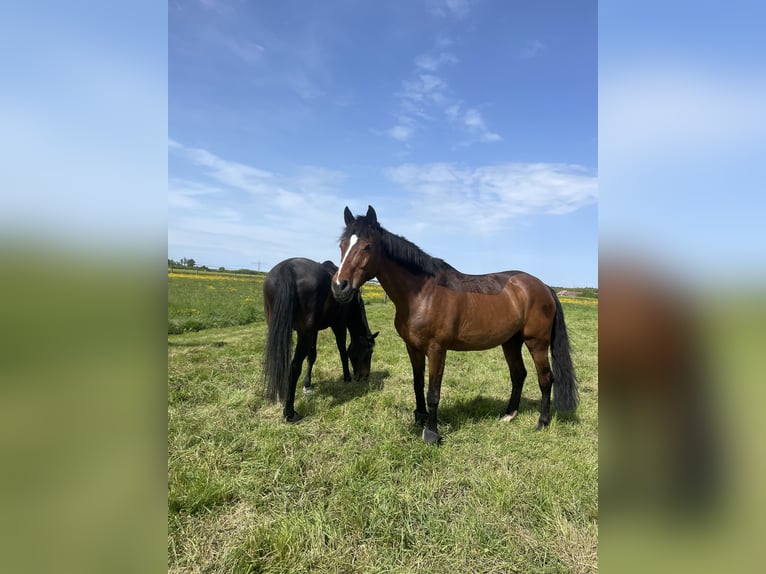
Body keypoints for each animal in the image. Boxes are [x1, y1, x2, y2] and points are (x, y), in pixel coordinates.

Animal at [264, 258, 380, 424]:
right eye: (369, 351)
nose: (365, 376)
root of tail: (287, 268)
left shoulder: (314, 331)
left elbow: (312, 356)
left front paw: (307, 385)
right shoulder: (339, 325)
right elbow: (342, 351)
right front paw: (347, 377)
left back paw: (280, 396)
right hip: (304, 334)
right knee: (294, 366)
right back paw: (289, 412)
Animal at [332, 207, 580, 446]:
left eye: (367, 246)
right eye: (342, 245)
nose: (339, 286)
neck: (422, 294)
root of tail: (544, 286)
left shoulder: (436, 349)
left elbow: (433, 392)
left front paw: (431, 433)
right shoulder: (413, 348)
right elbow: (417, 384)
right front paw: (419, 418)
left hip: (536, 343)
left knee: (545, 379)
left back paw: (542, 422)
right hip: (511, 342)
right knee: (519, 374)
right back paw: (509, 414)